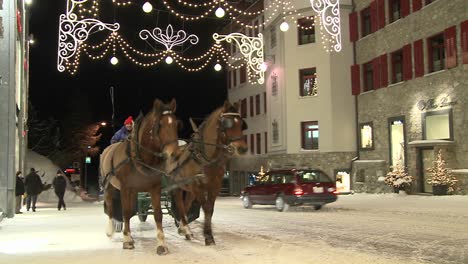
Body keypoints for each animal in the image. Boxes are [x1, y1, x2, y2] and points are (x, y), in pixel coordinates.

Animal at [100, 98, 179, 255]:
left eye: (176, 124)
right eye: (159, 125)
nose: (174, 154)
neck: (137, 156)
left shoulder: (154, 189)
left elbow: (158, 214)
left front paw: (161, 244)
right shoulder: (125, 188)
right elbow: (124, 212)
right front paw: (126, 241)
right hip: (110, 186)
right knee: (111, 206)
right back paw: (111, 230)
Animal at [168, 100, 249, 245]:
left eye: (241, 123)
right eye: (227, 123)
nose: (242, 148)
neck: (207, 159)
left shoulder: (214, 186)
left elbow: (210, 209)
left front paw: (209, 234)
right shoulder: (198, 186)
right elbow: (205, 207)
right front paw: (208, 236)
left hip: (189, 189)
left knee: (187, 204)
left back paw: (184, 229)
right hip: (178, 187)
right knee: (181, 204)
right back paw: (185, 228)